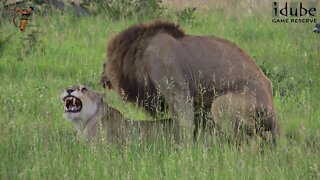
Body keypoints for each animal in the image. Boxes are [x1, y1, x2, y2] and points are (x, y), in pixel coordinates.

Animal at [100, 20, 280, 143]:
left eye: (105, 63)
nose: (102, 77)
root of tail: (271, 107)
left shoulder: (174, 87)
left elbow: (185, 124)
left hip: (221, 105)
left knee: (250, 138)